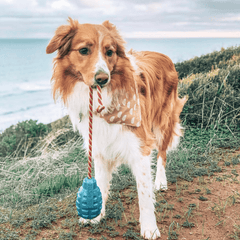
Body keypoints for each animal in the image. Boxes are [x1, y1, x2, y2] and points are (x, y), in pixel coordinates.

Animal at [46, 17, 187, 239]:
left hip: (163, 121)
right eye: (84, 50)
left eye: (109, 52)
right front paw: (96, 214)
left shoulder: (140, 146)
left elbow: (144, 193)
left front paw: (149, 227)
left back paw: (160, 182)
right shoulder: (99, 146)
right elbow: (101, 182)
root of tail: (162, 54)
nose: (103, 79)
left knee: (162, 153)